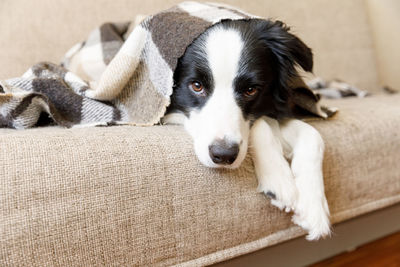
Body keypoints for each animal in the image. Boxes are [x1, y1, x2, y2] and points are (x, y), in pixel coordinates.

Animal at [162, 18, 332, 241]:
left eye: (251, 90)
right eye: (196, 86)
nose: (223, 155)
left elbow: (314, 136)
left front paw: (314, 207)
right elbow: (262, 125)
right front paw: (279, 178)